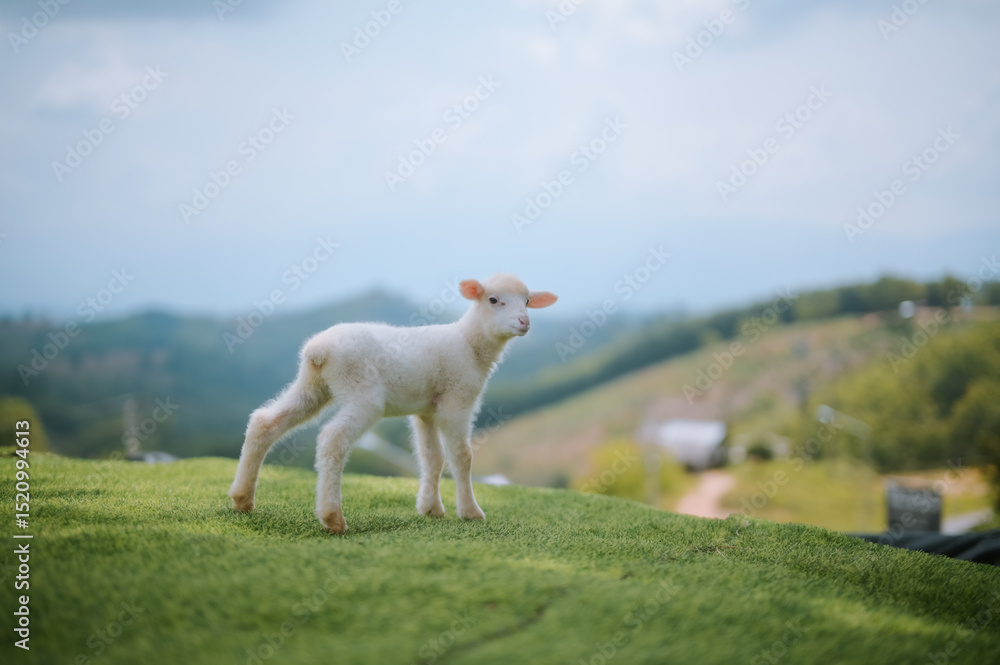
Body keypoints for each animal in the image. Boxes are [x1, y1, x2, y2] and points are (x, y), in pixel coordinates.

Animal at [228, 273, 558, 534]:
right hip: (363, 393)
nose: (524, 322)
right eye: (493, 300)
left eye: (528, 300)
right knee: (332, 439)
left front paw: (430, 509)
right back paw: (333, 518)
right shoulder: (457, 400)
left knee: (265, 422)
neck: (469, 342)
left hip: (312, 387)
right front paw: (470, 512)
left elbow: (432, 458)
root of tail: (319, 350)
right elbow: (461, 456)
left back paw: (242, 499)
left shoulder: (425, 410)